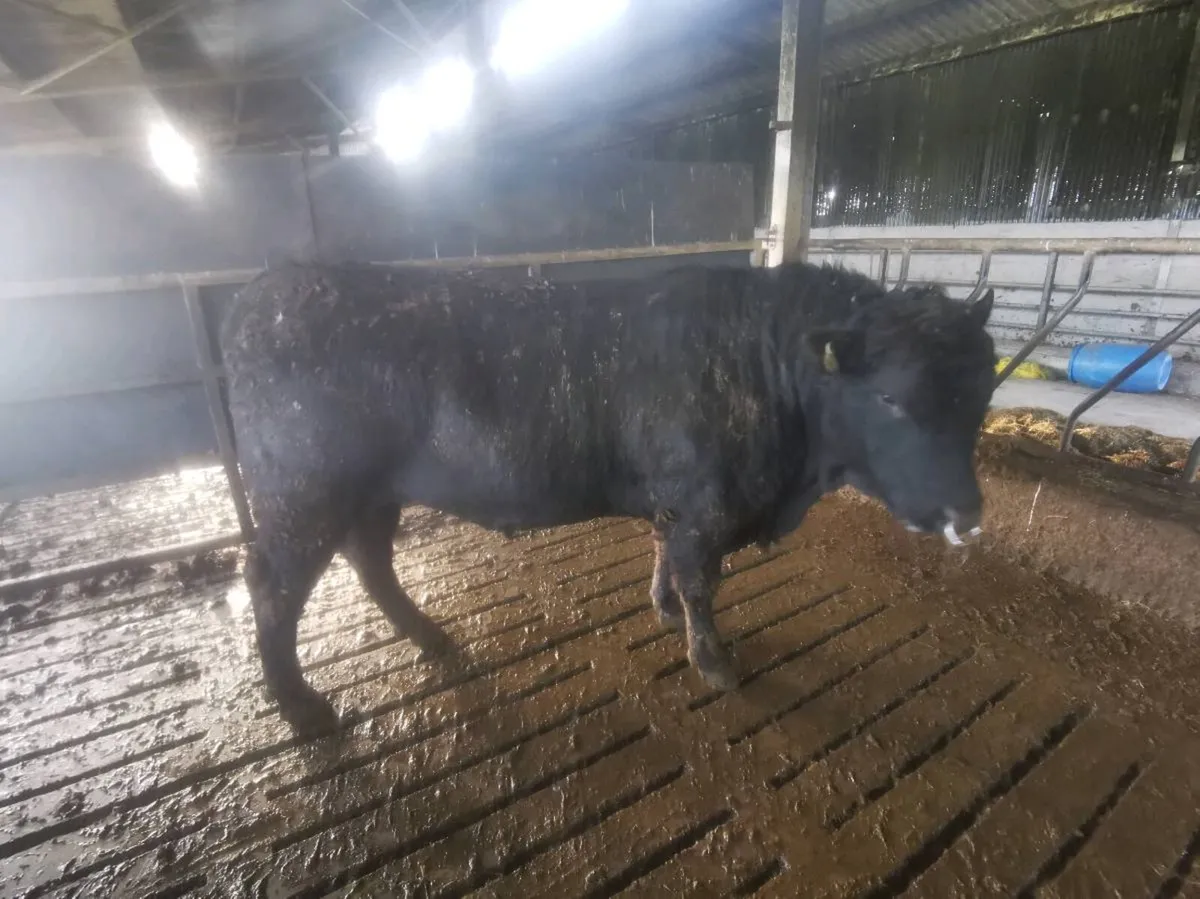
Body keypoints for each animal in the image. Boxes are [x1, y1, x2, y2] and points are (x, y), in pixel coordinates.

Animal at [221, 259, 996, 734]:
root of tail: (275, 286)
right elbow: (700, 581)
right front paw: (714, 662)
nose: (965, 514)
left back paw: (429, 635)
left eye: (984, 390)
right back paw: (302, 706)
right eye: (890, 397)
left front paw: (662, 609)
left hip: (371, 494)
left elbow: (664, 556)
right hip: (304, 497)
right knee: (273, 587)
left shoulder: (675, 502)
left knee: (371, 561)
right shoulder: (704, 504)